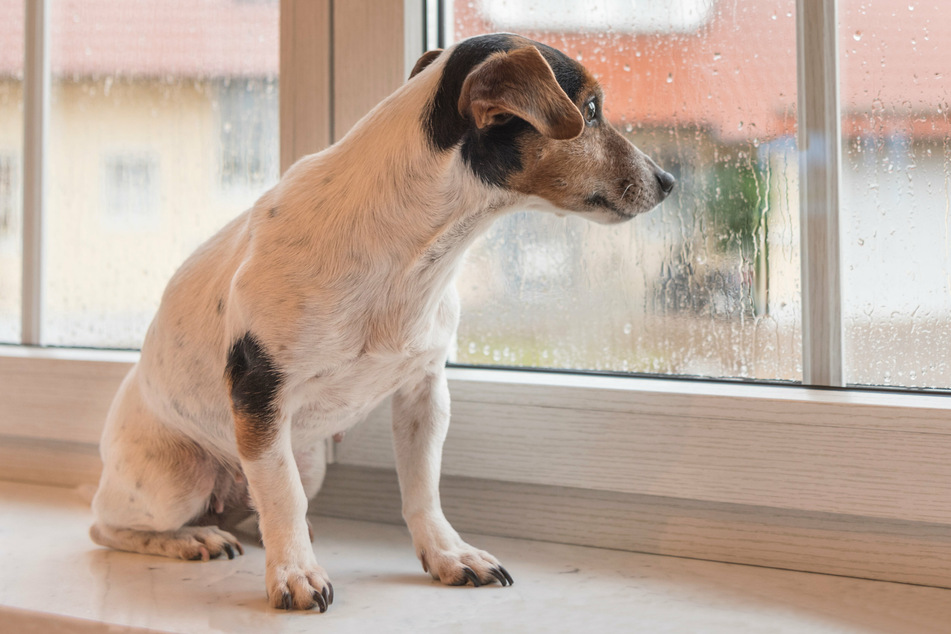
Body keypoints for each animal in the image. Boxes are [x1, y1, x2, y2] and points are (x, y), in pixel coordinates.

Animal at [87, 32, 668, 608]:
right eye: (590, 111)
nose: (668, 181)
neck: (412, 252)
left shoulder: (423, 392)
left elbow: (421, 489)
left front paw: (447, 555)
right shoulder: (260, 395)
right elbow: (284, 498)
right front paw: (294, 574)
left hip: (307, 458)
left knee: (258, 509)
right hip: (176, 480)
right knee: (109, 526)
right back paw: (195, 538)